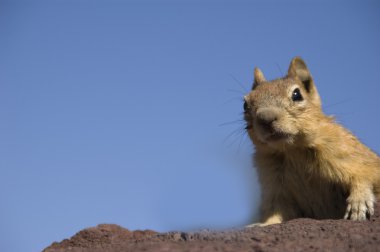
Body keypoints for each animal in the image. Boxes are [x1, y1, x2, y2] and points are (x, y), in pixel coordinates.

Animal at [243, 56, 380, 225]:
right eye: (245, 104)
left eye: (297, 94)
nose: (266, 118)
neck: (293, 150)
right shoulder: (276, 187)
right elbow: (277, 212)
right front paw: (262, 224)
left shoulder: (350, 155)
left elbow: (365, 174)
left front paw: (359, 202)